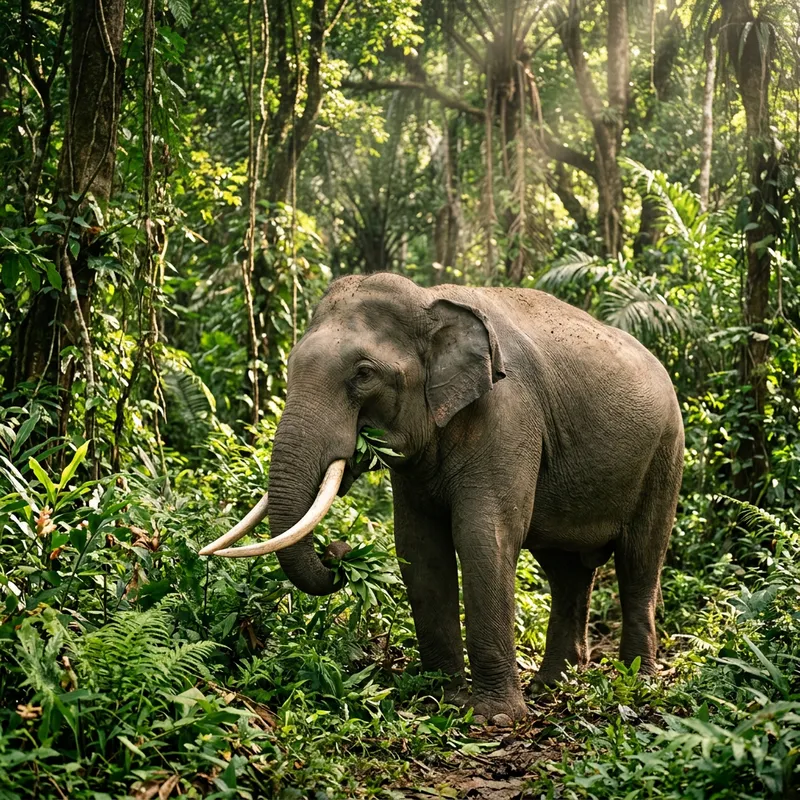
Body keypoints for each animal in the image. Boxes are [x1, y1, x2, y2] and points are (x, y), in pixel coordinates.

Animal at [201, 272, 684, 724]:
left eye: (363, 374)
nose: (338, 551)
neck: (429, 300)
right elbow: (419, 547)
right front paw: (441, 699)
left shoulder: (509, 414)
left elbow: (483, 536)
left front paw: (495, 717)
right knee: (566, 571)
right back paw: (552, 684)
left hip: (665, 452)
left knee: (640, 561)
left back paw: (637, 681)